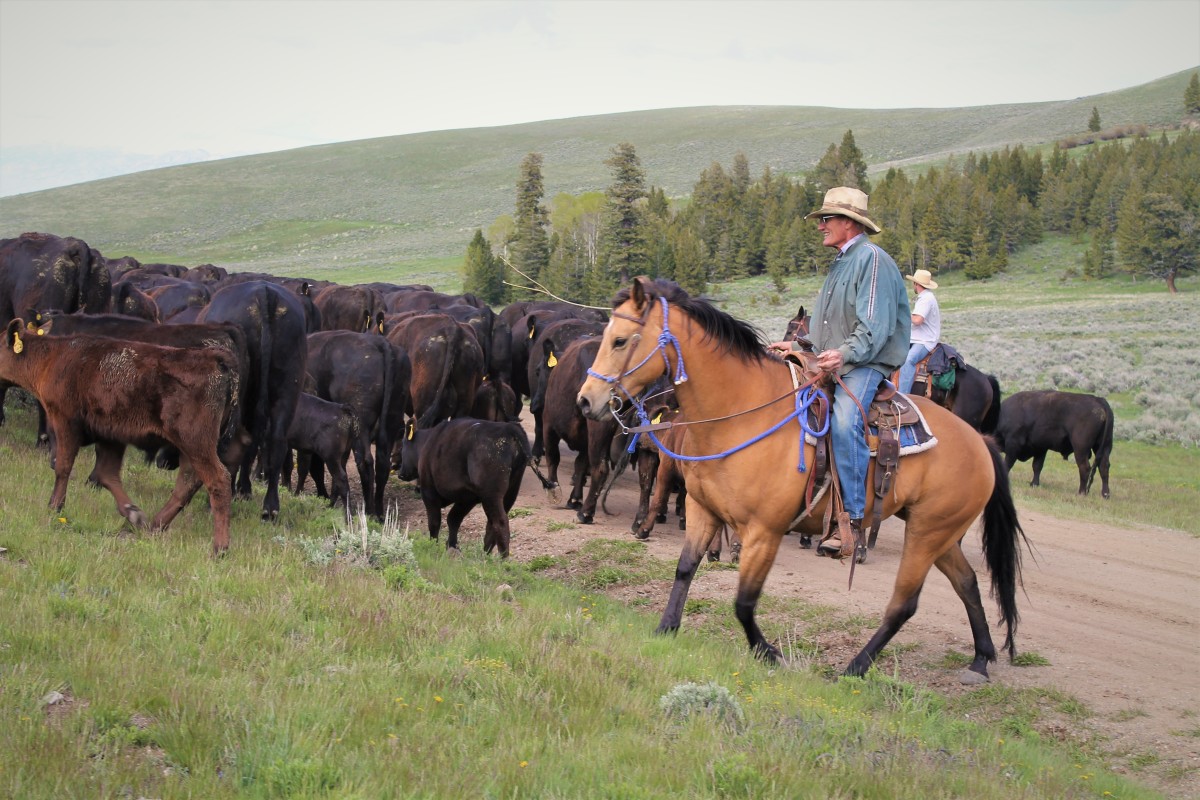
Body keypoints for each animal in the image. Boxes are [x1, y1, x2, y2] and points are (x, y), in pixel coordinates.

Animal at [398, 419, 556, 556]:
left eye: (402, 447)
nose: (400, 473)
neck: (428, 442)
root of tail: (510, 428)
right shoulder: (468, 498)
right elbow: (453, 519)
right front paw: (452, 546)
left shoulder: (429, 492)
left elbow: (435, 522)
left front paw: (432, 546)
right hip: (510, 492)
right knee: (491, 524)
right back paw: (485, 555)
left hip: (492, 495)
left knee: (500, 522)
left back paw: (502, 559)